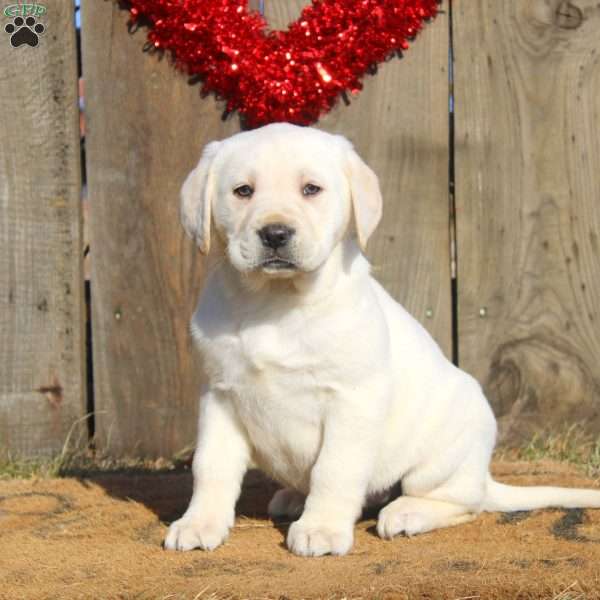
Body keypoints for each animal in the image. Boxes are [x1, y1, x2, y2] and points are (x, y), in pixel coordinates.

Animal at [165, 123, 600, 556]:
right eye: (243, 191)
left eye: (311, 189)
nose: (275, 233)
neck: (274, 302)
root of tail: (483, 475)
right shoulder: (220, 395)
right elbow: (211, 467)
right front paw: (200, 523)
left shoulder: (352, 399)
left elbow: (334, 469)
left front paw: (322, 528)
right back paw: (295, 497)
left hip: (440, 458)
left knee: (462, 502)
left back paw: (407, 512)